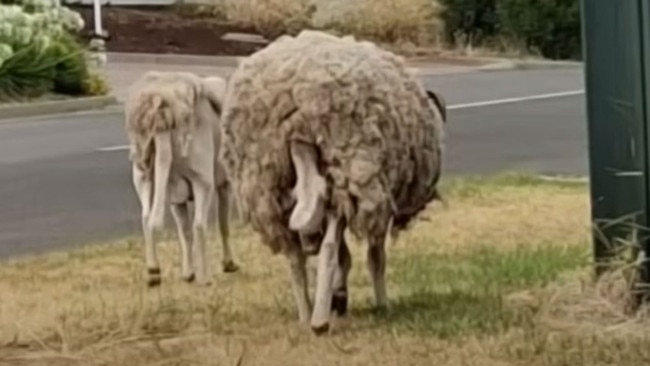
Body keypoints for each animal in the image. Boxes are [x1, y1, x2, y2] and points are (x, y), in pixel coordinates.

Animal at [124, 70, 238, 288]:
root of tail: (162, 116)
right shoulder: (224, 185)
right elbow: (223, 224)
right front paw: (229, 264)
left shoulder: (176, 196)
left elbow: (184, 233)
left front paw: (188, 273)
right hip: (203, 178)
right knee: (199, 224)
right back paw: (205, 278)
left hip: (143, 175)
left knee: (147, 217)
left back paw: (153, 272)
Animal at [218, 30, 446, 334]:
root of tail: (298, 114)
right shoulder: (375, 200)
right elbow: (374, 257)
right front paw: (380, 304)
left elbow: (344, 256)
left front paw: (340, 296)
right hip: (345, 171)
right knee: (326, 247)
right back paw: (319, 321)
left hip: (266, 186)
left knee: (295, 254)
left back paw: (306, 312)